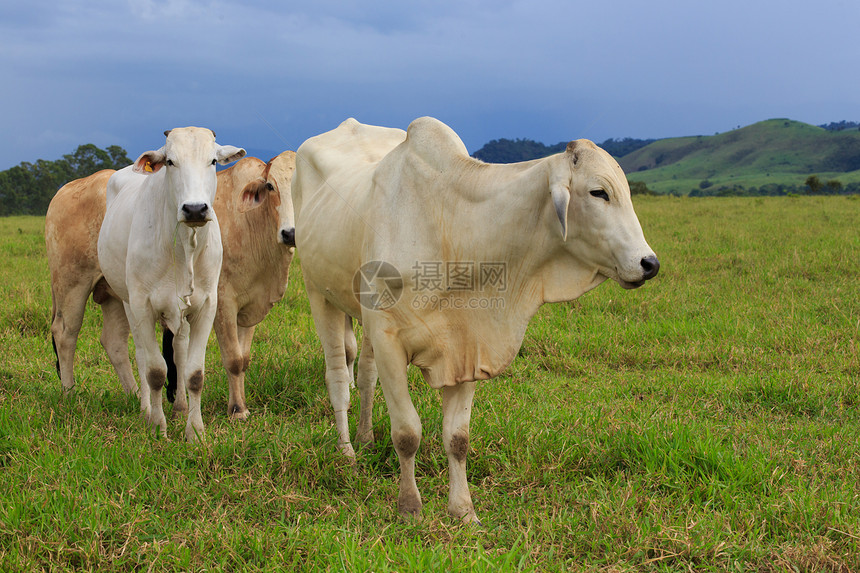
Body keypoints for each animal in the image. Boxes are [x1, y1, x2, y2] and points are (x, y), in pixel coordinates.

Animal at [47, 152, 298, 420]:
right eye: (270, 186)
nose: (290, 233)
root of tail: (66, 189)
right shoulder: (222, 302)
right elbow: (232, 359)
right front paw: (237, 410)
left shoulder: (249, 305)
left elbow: (243, 358)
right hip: (72, 284)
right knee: (65, 334)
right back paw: (70, 395)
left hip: (118, 295)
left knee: (115, 342)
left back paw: (136, 396)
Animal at [98, 126, 245, 438]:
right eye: (170, 162)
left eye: (213, 161)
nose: (195, 209)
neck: (183, 246)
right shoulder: (142, 305)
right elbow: (155, 371)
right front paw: (157, 427)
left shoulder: (206, 307)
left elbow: (194, 373)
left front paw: (195, 431)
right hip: (128, 302)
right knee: (141, 356)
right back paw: (146, 410)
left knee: (178, 350)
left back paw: (179, 407)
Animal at [292, 115, 660, 524]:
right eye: (599, 192)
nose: (649, 263)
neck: (455, 228)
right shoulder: (390, 340)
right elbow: (407, 432)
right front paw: (410, 508)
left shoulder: (467, 346)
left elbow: (457, 438)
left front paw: (464, 511)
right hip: (318, 293)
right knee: (338, 378)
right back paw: (346, 452)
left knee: (367, 376)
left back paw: (365, 437)